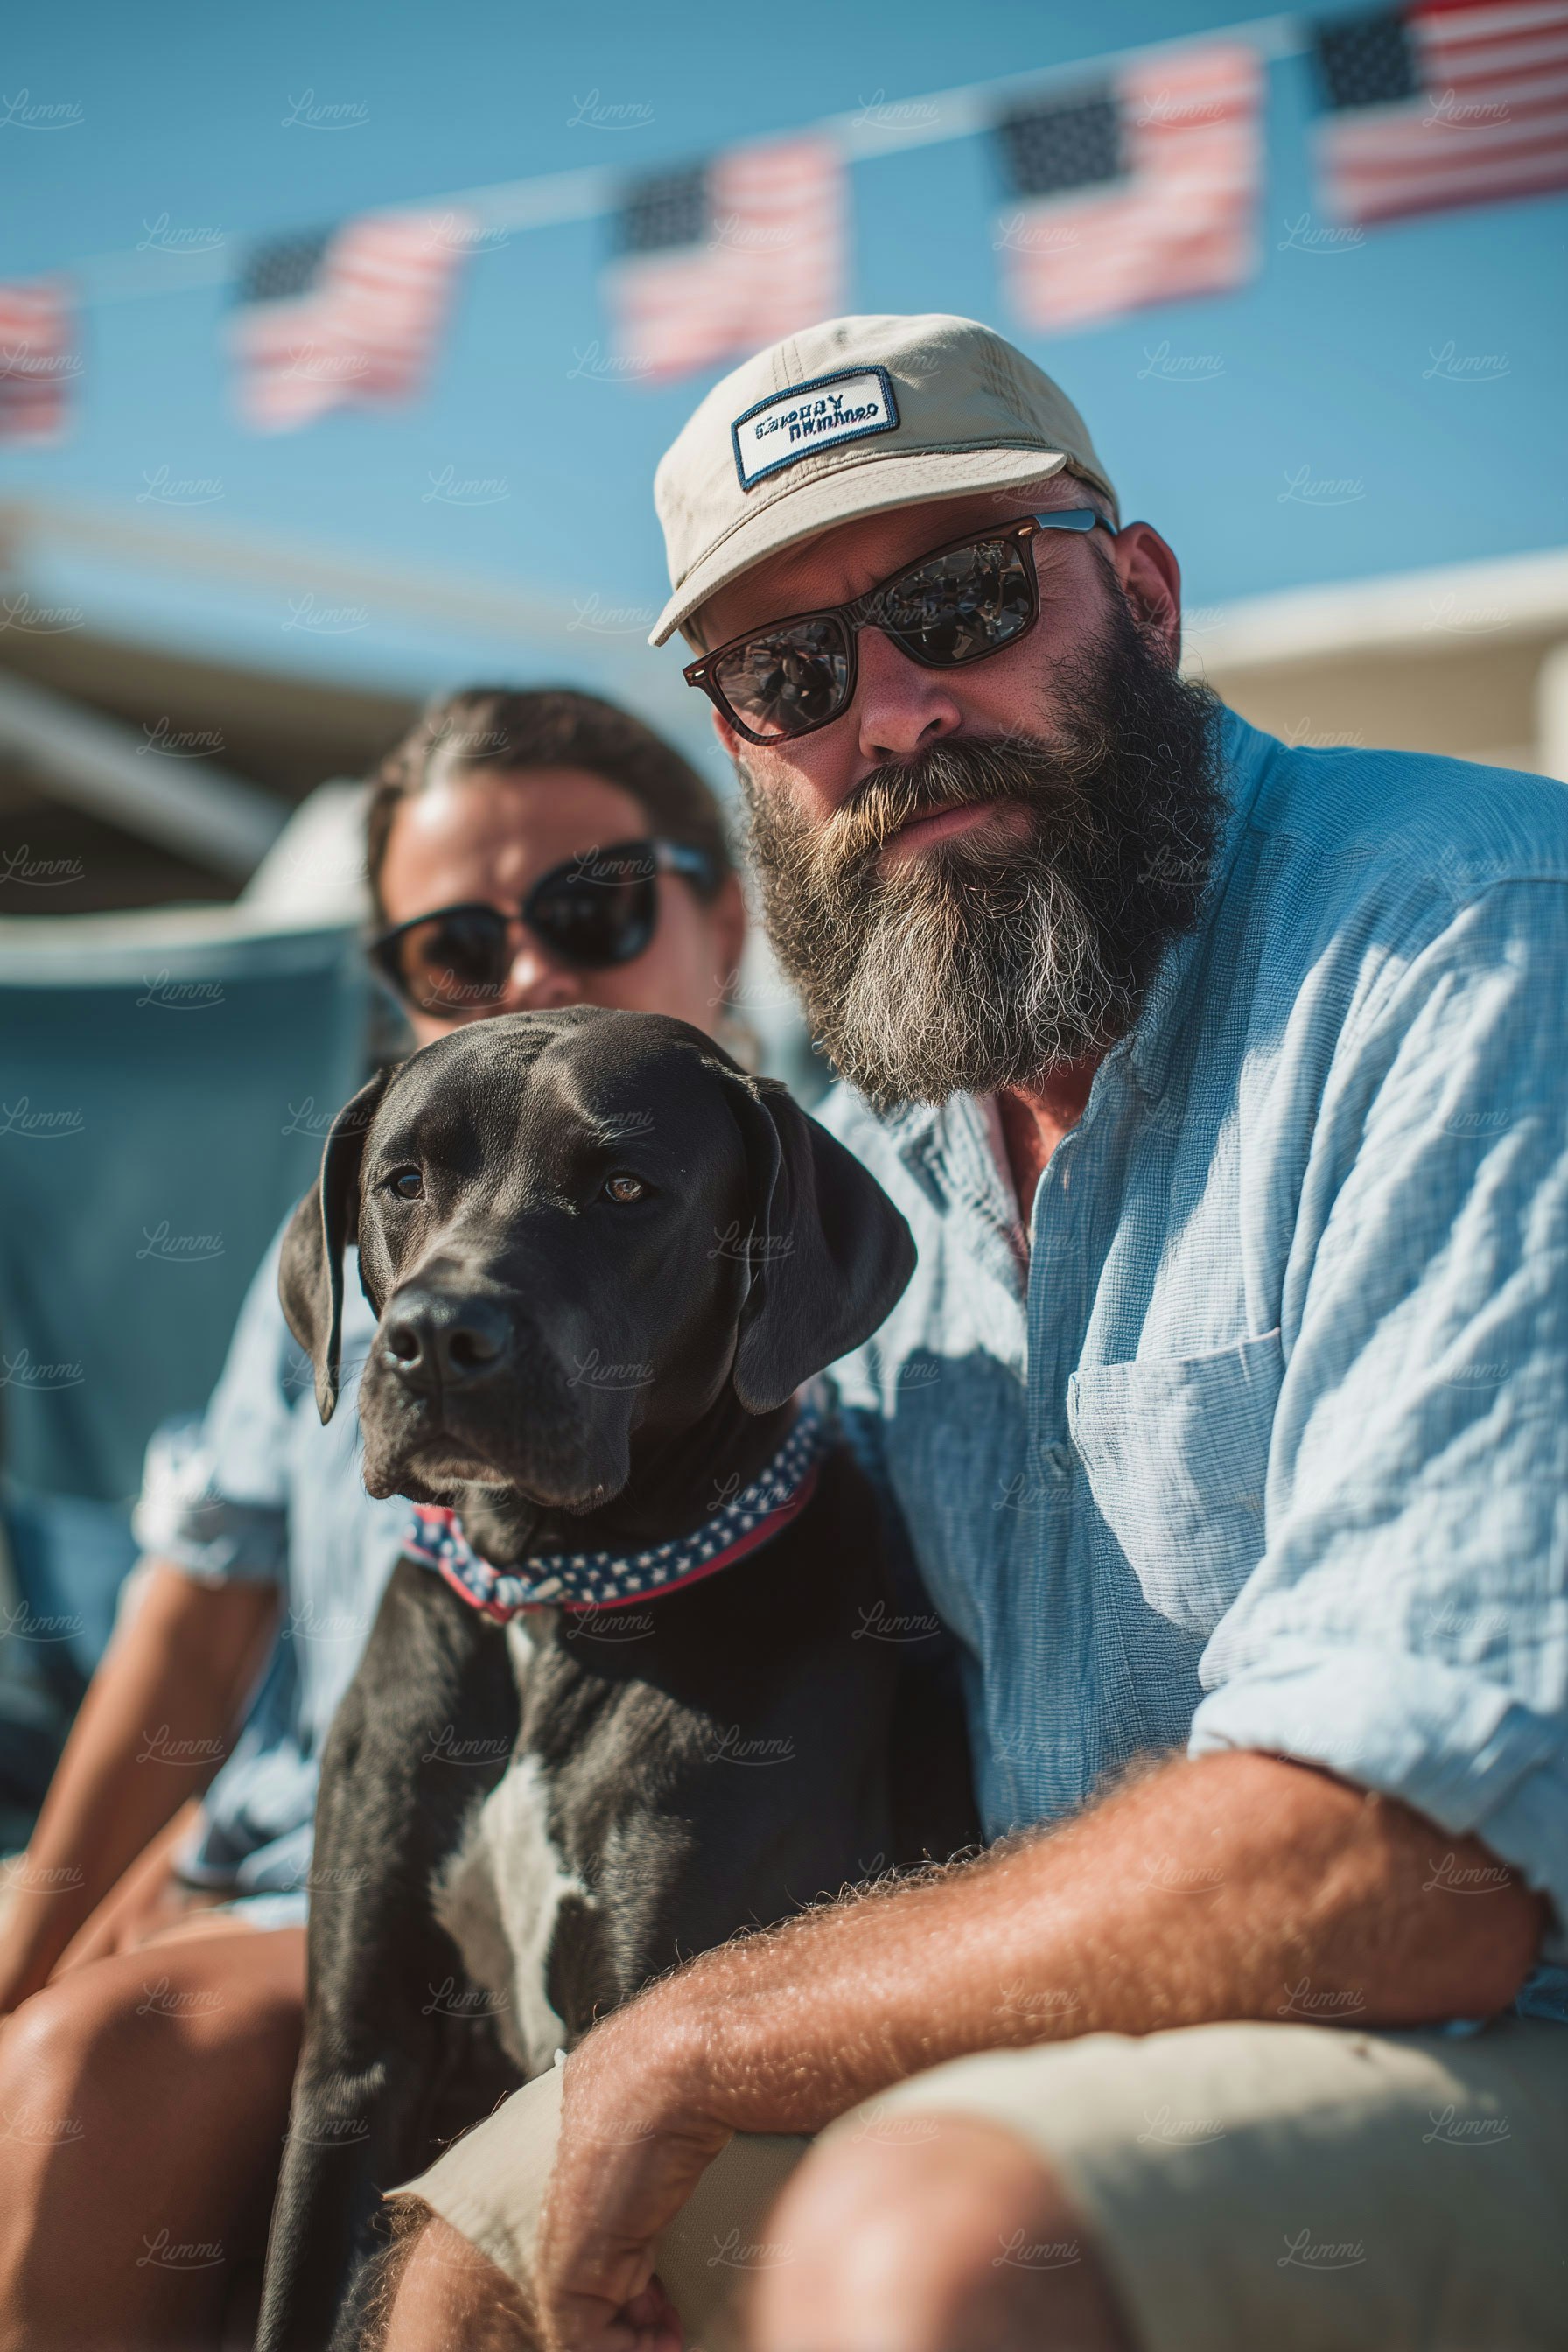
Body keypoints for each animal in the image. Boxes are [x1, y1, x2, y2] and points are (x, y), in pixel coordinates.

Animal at [255, 1006, 978, 2350]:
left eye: (626, 1188)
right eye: (402, 1180)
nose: (436, 1338)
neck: (554, 1600)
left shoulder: (645, 2052)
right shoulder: (352, 2065)